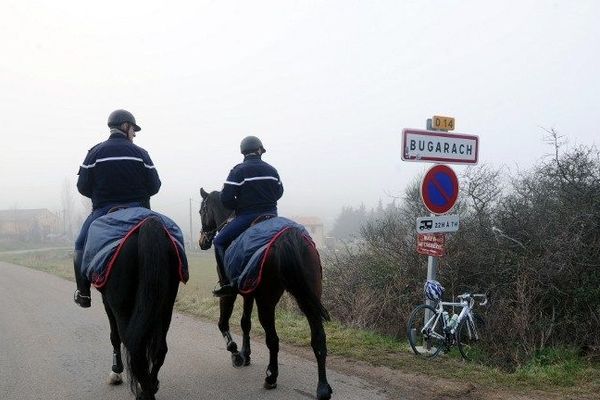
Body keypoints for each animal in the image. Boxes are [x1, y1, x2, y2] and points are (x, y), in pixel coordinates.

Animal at [99, 217, 180, 398]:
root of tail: (150, 222)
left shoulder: (108, 303)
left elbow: (114, 336)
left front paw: (116, 372)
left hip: (123, 309)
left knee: (135, 350)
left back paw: (144, 391)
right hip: (166, 308)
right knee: (159, 350)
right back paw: (150, 386)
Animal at [200, 188, 332, 400]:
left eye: (201, 211)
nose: (202, 241)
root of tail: (287, 236)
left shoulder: (231, 294)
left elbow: (223, 323)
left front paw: (236, 354)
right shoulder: (248, 291)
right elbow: (245, 323)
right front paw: (246, 354)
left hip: (267, 301)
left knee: (273, 339)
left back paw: (271, 376)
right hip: (307, 299)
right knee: (318, 339)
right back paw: (323, 388)